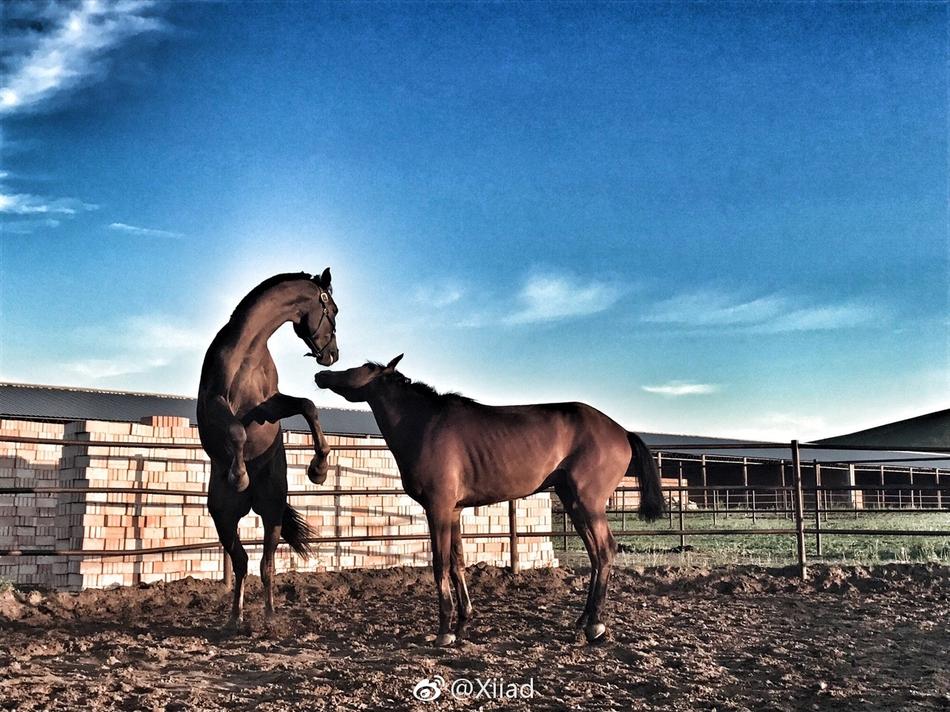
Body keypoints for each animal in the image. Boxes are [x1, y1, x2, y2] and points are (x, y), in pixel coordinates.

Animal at [197, 268, 338, 628]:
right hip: (224, 518)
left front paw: (318, 470)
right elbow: (236, 430)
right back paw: (235, 619)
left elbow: (307, 406)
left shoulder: (268, 407)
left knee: (266, 564)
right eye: (333, 311)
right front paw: (239, 475)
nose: (333, 355)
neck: (247, 350)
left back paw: (271, 617)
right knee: (242, 562)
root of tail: (250, 504)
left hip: (272, 512)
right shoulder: (213, 406)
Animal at [316, 354, 664, 644]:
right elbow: (457, 562)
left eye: (362, 367)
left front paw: (444, 632)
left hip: (588, 504)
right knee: (595, 555)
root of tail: (622, 432)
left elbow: (440, 565)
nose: (322, 374)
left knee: (604, 551)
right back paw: (582, 621)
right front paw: (462, 624)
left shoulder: (437, 509)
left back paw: (595, 626)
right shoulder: (453, 511)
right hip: (573, 503)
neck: (424, 424)